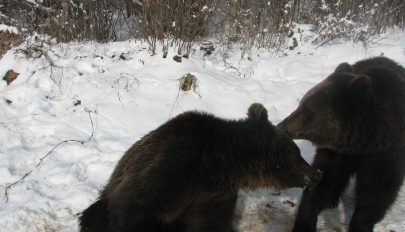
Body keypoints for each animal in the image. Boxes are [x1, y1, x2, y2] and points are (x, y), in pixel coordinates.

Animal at [79, 103, 320, 232]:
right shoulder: (168, 171)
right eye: (298, 154)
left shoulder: (213, 196)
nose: (317, 174)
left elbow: (210, 223)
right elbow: (131, 208)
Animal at [280, 56, 404, 232]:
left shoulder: (387, 151)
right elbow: (325, 179)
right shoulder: (336, 153)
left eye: (307, 111)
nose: (281, 126)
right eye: (301, 104)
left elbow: (377, 191)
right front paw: (304, 222)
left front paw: (360, 224)